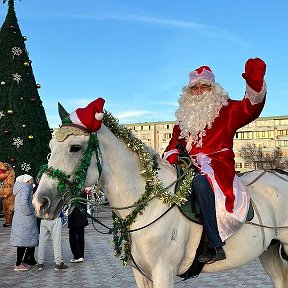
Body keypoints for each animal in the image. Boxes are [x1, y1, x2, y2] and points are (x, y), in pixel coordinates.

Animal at [32, 111, 288, 288]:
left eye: (75, 147)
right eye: (51, 146)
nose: (40, 202)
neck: (149, 204)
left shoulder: (163, 271)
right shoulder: (141, 273)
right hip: (269, 250)